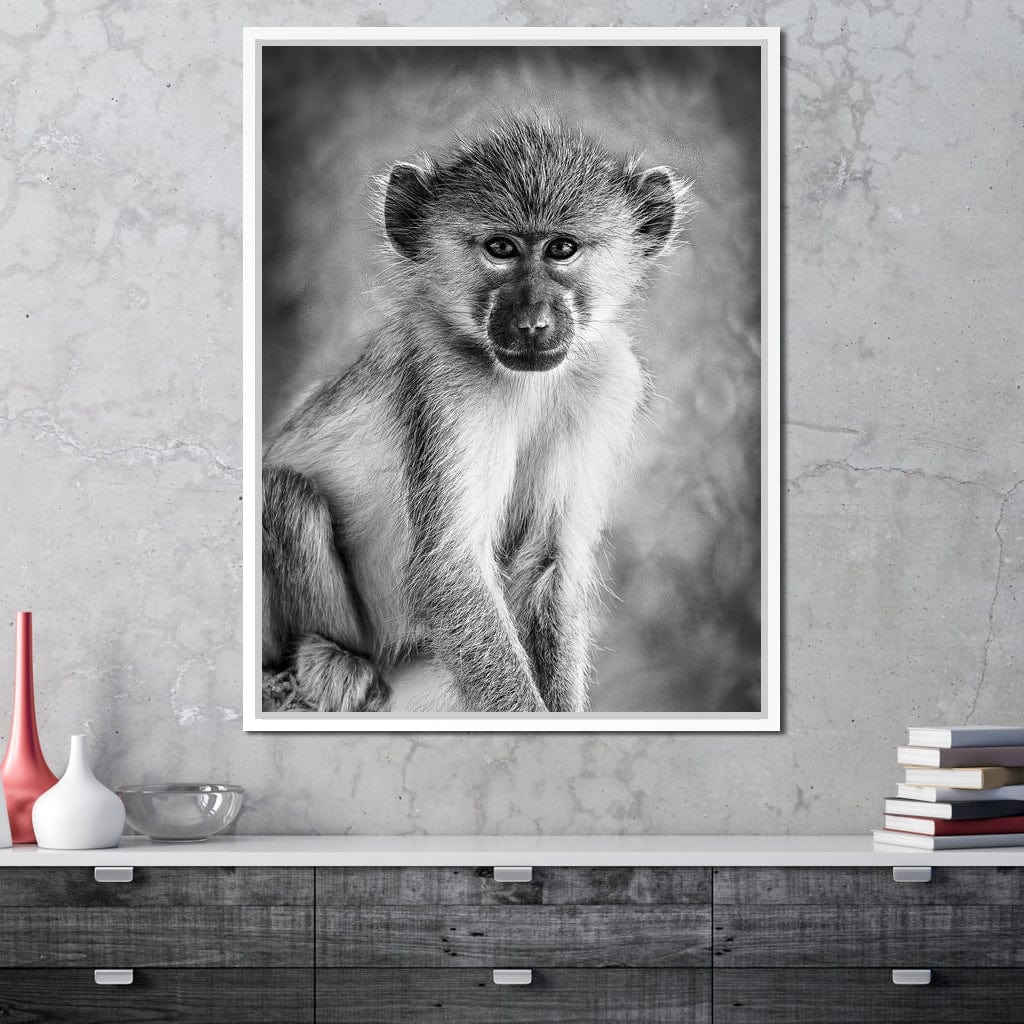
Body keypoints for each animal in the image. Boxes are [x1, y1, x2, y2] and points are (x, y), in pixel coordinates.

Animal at [261, 116, 692, 713]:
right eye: (500, 248)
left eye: (562, 248)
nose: (533, 322)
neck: (529, 384)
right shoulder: (450, 381)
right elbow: (451, 571)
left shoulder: (609, 380)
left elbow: (549, 562)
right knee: (285, 495)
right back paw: (327, 655)